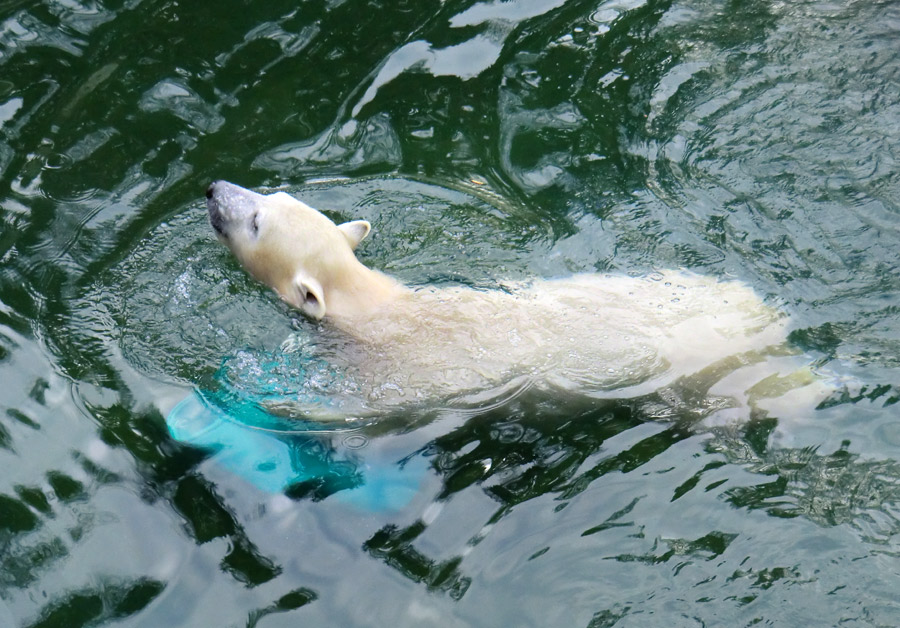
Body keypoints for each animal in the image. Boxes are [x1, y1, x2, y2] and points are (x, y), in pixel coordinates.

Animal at [204, 180, 800, 418]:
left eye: (256, 222)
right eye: (270, 194)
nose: (213, 189)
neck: (374, 307)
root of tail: (771, 318)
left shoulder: (400, 377)